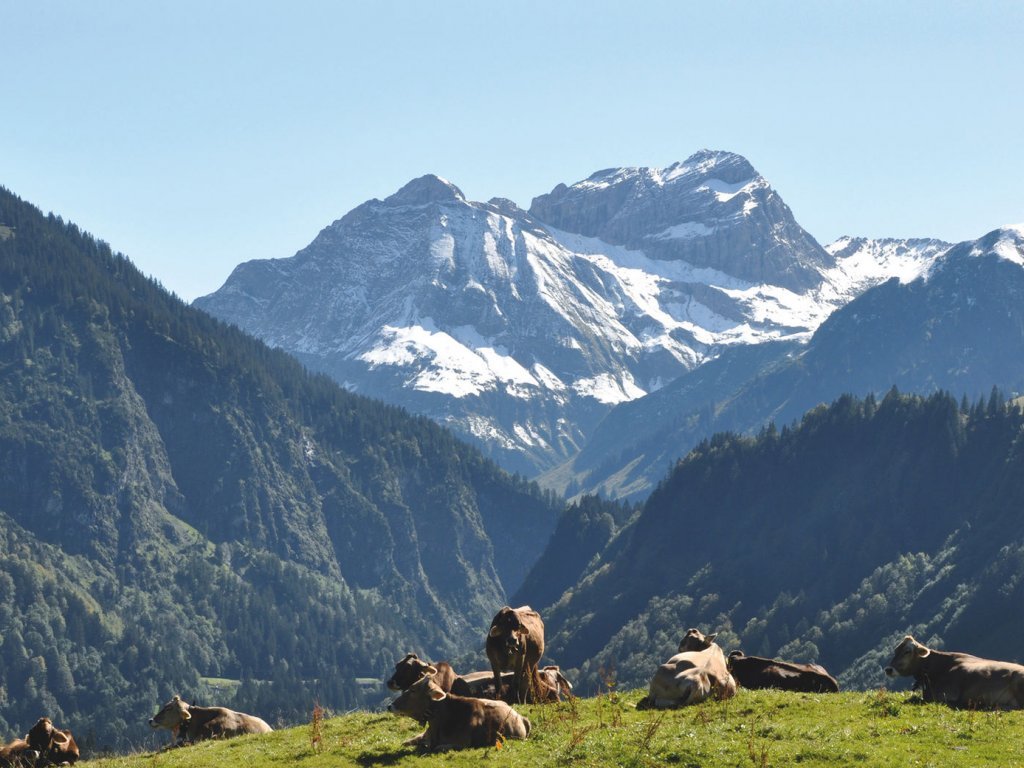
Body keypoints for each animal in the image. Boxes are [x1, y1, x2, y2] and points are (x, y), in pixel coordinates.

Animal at [387, 671, 532, 753]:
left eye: (413, 690)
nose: (389, 706)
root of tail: (521, 717)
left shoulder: (463, 743)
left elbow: (438, 747)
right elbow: (407, 741)